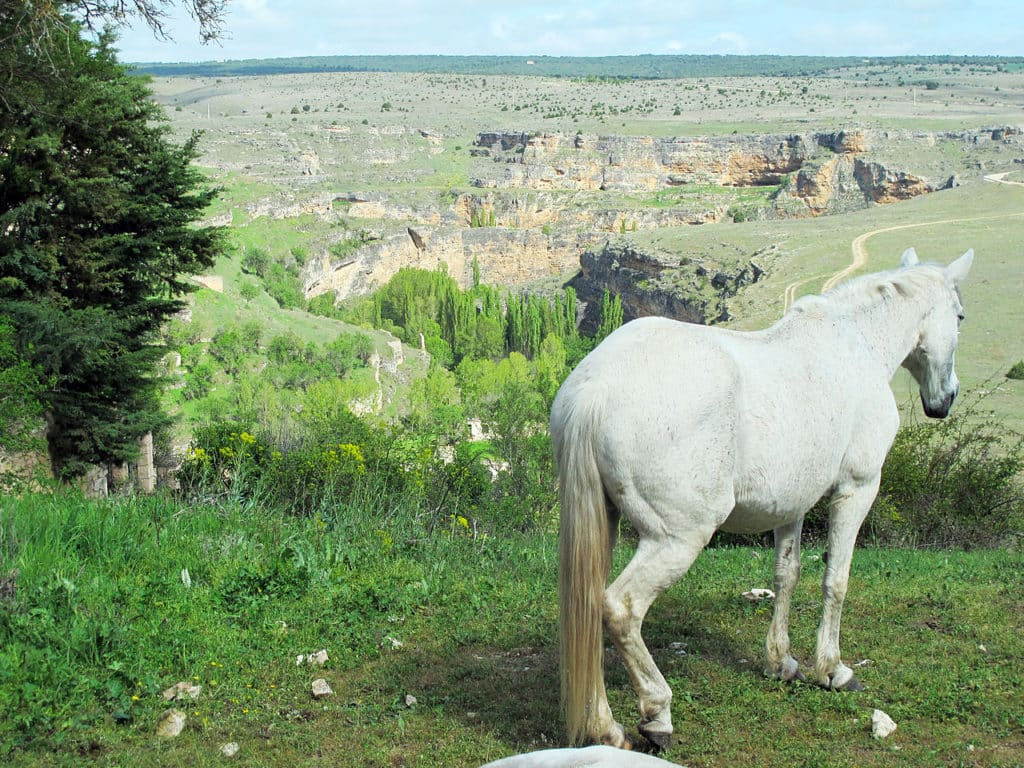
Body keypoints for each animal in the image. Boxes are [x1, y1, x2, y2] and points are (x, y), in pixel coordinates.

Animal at [552, 247, 974, 753]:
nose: (945, 400)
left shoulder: (790, 505)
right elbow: (837, 578)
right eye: (960, 315)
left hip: (607, 524)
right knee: (620, 608)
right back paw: (657, 715)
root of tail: (593, 392)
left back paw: (604, 727)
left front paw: (781, 663)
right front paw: (832, 670)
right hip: (676, 539)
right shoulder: (857, 488)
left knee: (589, 607)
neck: (856, 346)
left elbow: (787, 574)